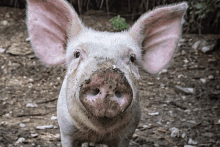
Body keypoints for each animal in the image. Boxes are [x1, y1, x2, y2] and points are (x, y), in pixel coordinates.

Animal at [25, 0, 187, 146]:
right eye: (77, 54)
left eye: (132, 58)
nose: (109, 76)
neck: (98, 134)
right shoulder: (66, 131)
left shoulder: (127, 132)